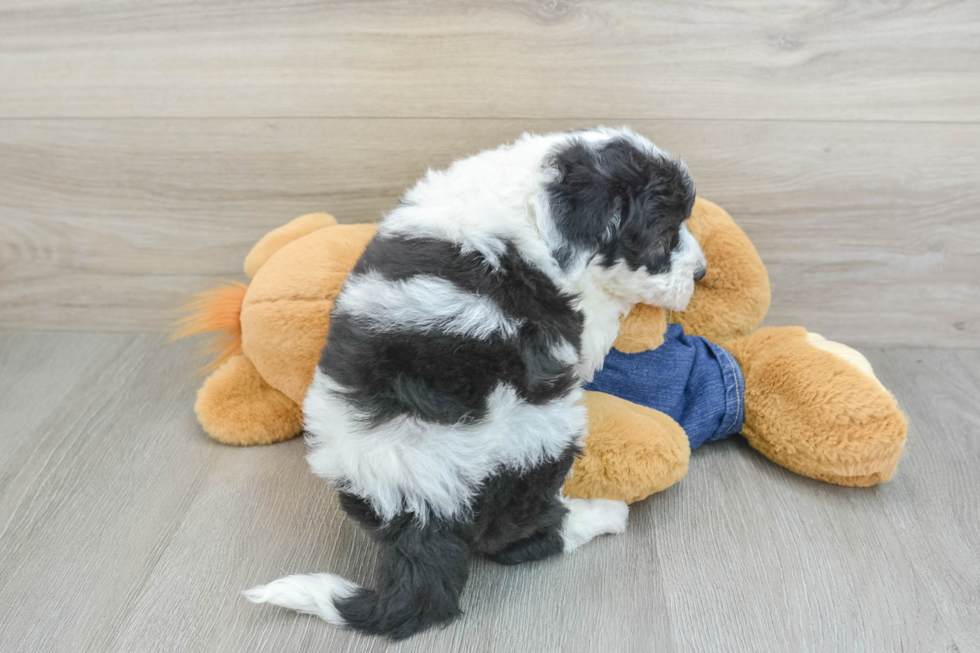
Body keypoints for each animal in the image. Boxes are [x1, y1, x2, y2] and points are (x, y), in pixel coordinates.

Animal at [245, 126, 704, 636]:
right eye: (662, 235)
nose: (702, 272)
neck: (532, 205)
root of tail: (423, 510)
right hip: (541, 436)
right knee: (521, 537)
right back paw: (603, 514)